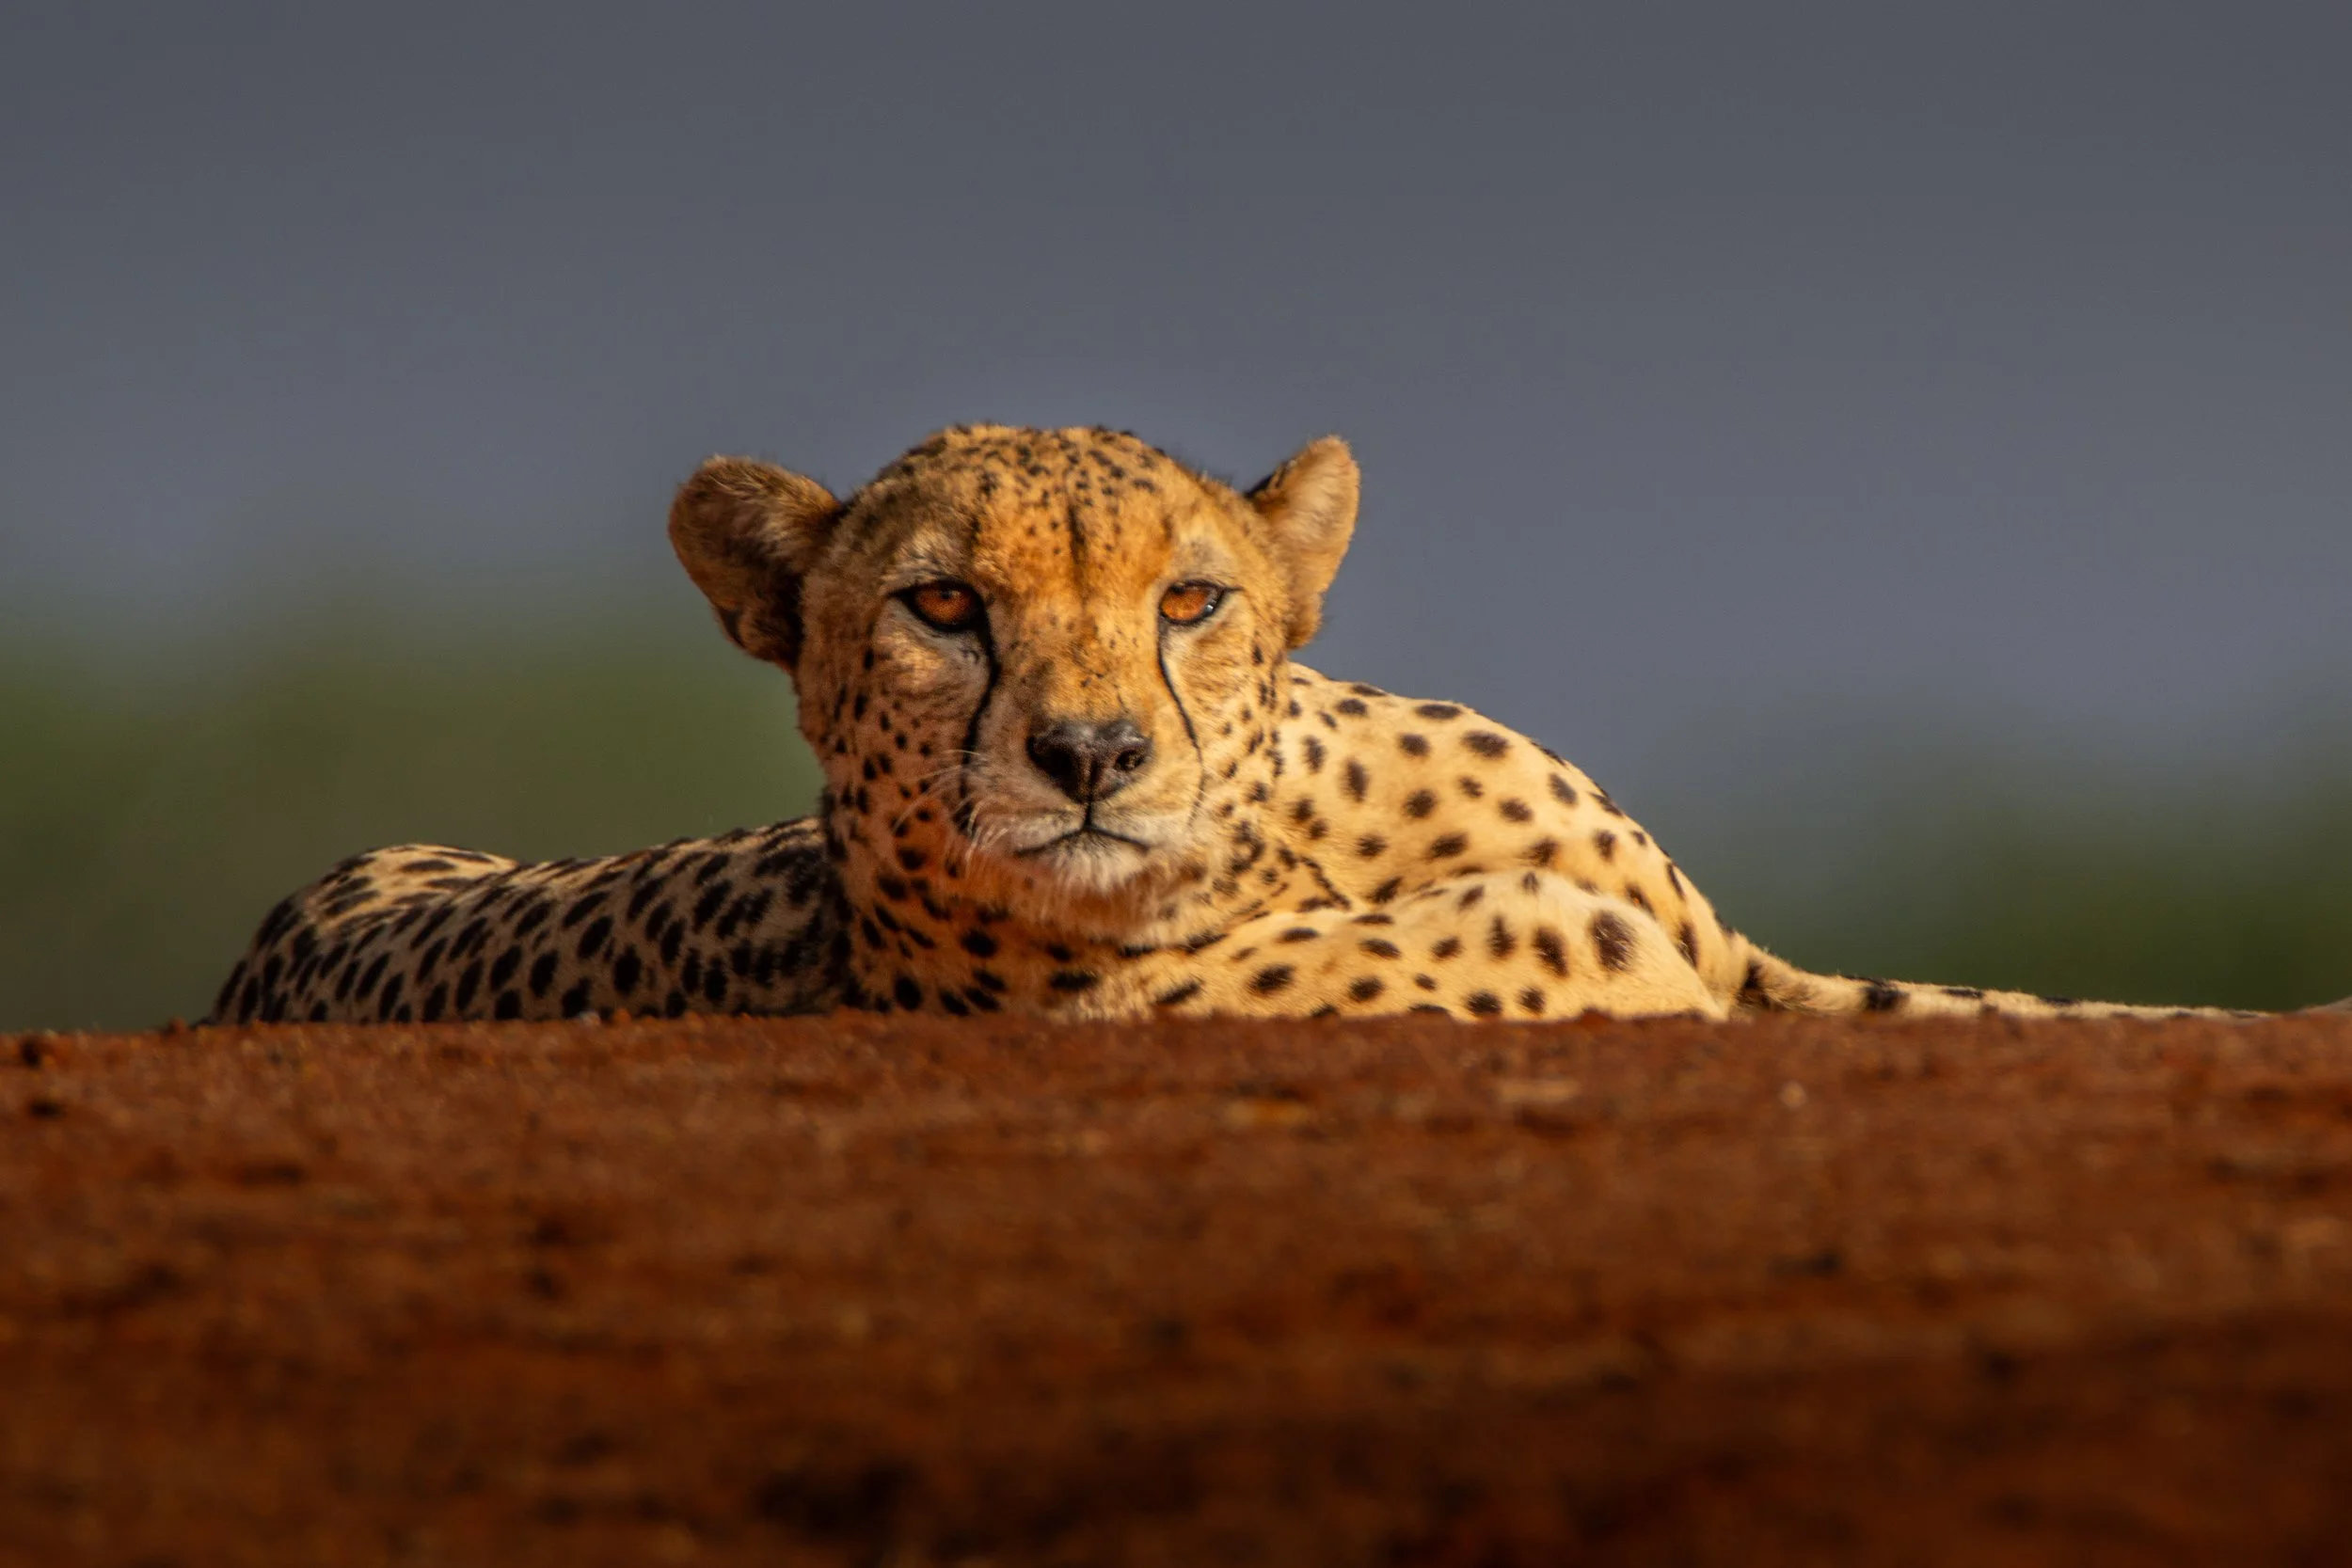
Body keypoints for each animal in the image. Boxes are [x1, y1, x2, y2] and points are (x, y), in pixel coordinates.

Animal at [209, 423, 2332, 1029]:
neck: (1301, 830)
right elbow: (1562, 955)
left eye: (1188, 598)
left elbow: (2031, 1012)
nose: (1087, 759)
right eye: (943, 607)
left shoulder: (1758, 955)